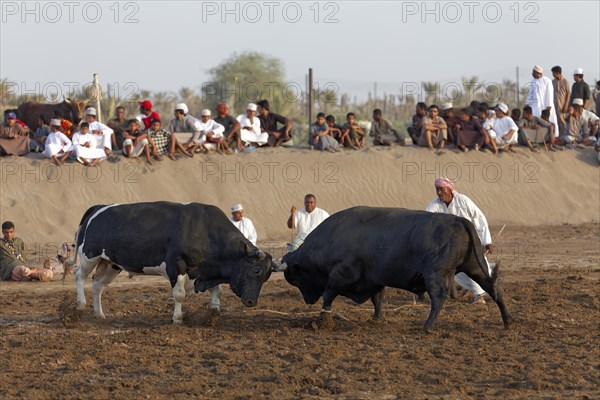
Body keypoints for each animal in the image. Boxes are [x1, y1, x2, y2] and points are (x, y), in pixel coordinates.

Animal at [74, 202, 274, 324]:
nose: (251, 301)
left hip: (110, 263)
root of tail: (99, 207)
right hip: (89, 255)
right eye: (256, 271)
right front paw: (177, 318)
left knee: (97, 284)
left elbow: (217, 291)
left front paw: (214, 312)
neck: (204, 231)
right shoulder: (176, 266)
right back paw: (80, 304)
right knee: (79, 276)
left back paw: (99, 314)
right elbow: (179, 295)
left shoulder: (206, 270)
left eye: (267, 276)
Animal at [276, 206, 510, 332]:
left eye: (295, 277)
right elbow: (377, 300)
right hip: (475, 268)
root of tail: (458, 220)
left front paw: (323, 319)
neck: (333, 237)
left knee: (439, 297)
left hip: (434, 274)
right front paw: (376, 319)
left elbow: (328, 295)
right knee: (494, 288)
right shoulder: (374, 280)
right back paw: (507, 320)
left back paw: (427, 326)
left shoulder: (340, 275)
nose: (307, 300)